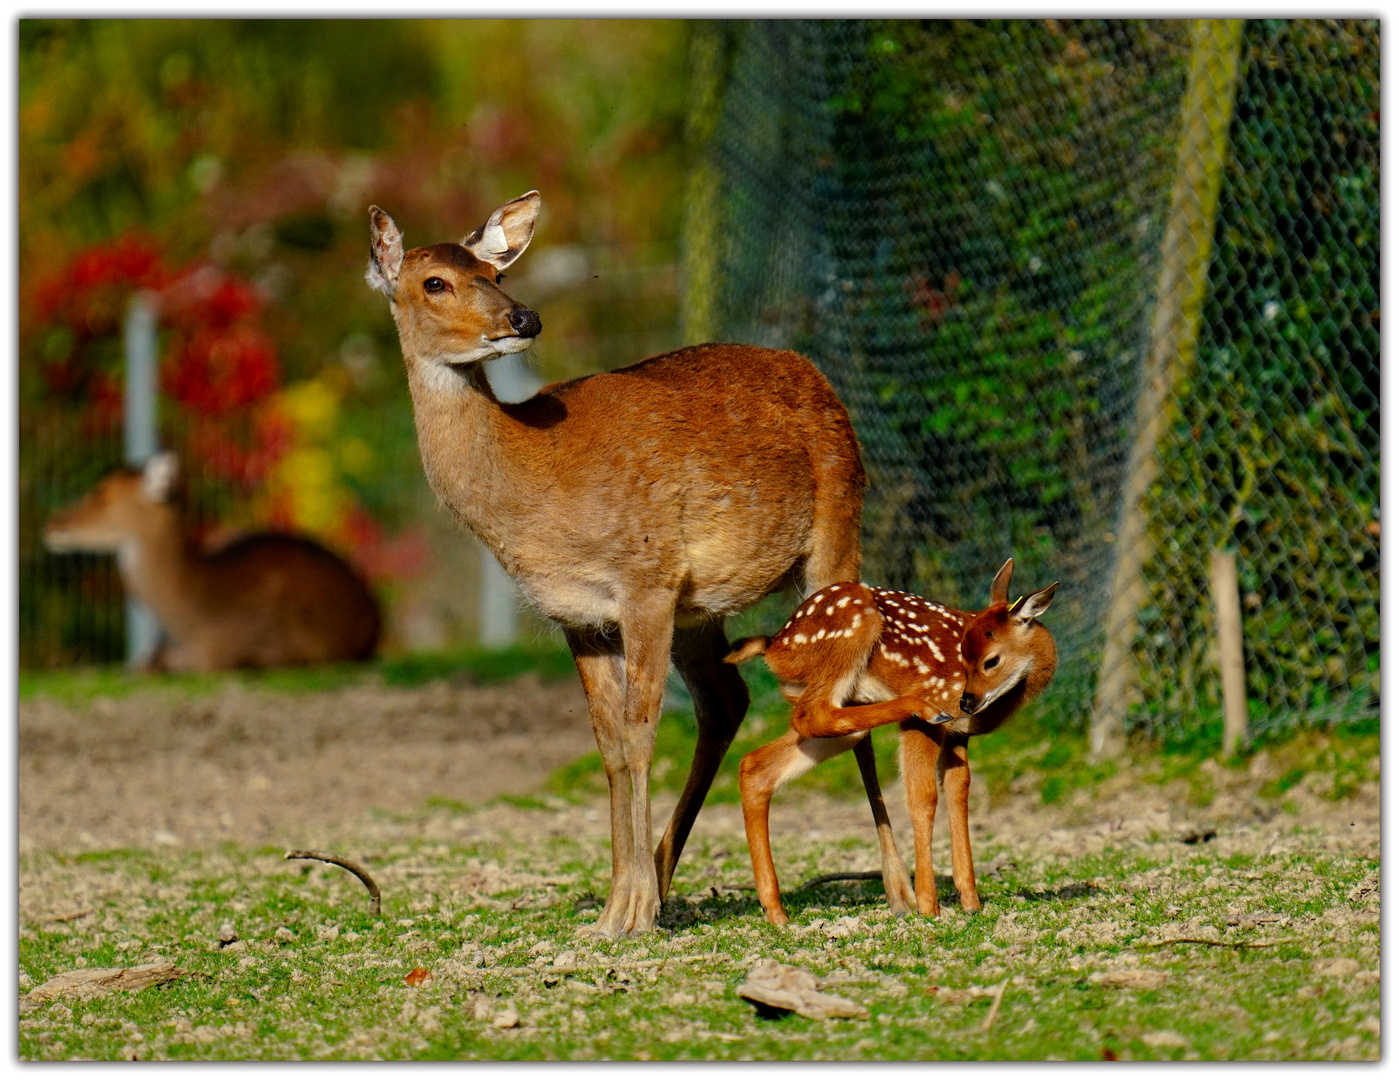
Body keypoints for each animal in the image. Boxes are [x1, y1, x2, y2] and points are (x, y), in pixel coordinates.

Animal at [360, 190, 917, 934]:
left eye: (497, 273)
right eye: (434, 282)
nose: (523, 318)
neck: (532, 485)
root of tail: (818, 376)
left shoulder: (643, 577)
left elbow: (640, 730)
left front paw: (631, 910)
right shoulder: (577, 613)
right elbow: (607, 742)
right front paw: (617, 904)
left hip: (836, 525)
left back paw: (899, 887)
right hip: (701, 608)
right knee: (725, 700)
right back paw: (662, 872)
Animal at [727, 562, 1052, 923]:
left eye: (990, 660)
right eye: (966, 657)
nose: (967, 702)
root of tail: (774, 644)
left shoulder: (959, 735)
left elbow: (958, 794)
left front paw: (971, 902)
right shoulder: (931, 709)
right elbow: (923, 798)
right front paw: (928, 905)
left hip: (835, 716)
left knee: (756, 764)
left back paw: (776, 911)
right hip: (851, 631)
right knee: (813, 713)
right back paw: (921, 706)